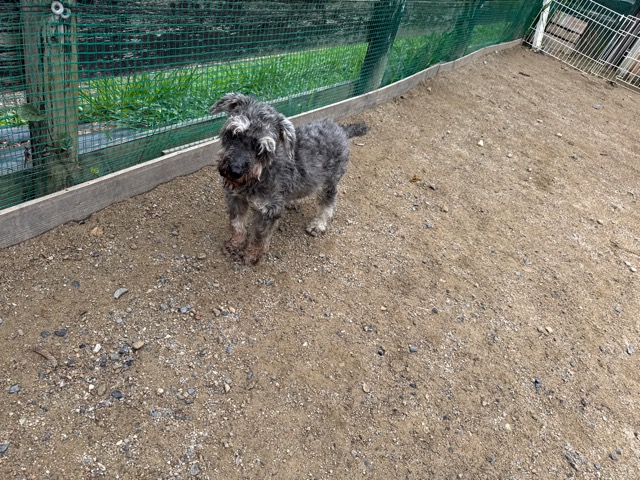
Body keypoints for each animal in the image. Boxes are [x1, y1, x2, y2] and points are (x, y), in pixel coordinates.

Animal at [210, 93, 368, 265]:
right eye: (234, 134)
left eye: (262, 148)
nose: (235, 171)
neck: (262, 173)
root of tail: (340, 129)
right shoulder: (236, 198)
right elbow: (236, 224)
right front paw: (234, 243)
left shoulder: (268, 210)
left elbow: (259, 237)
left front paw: (251, 254)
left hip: (329, 181)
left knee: (328, 203)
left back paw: (319, 225)